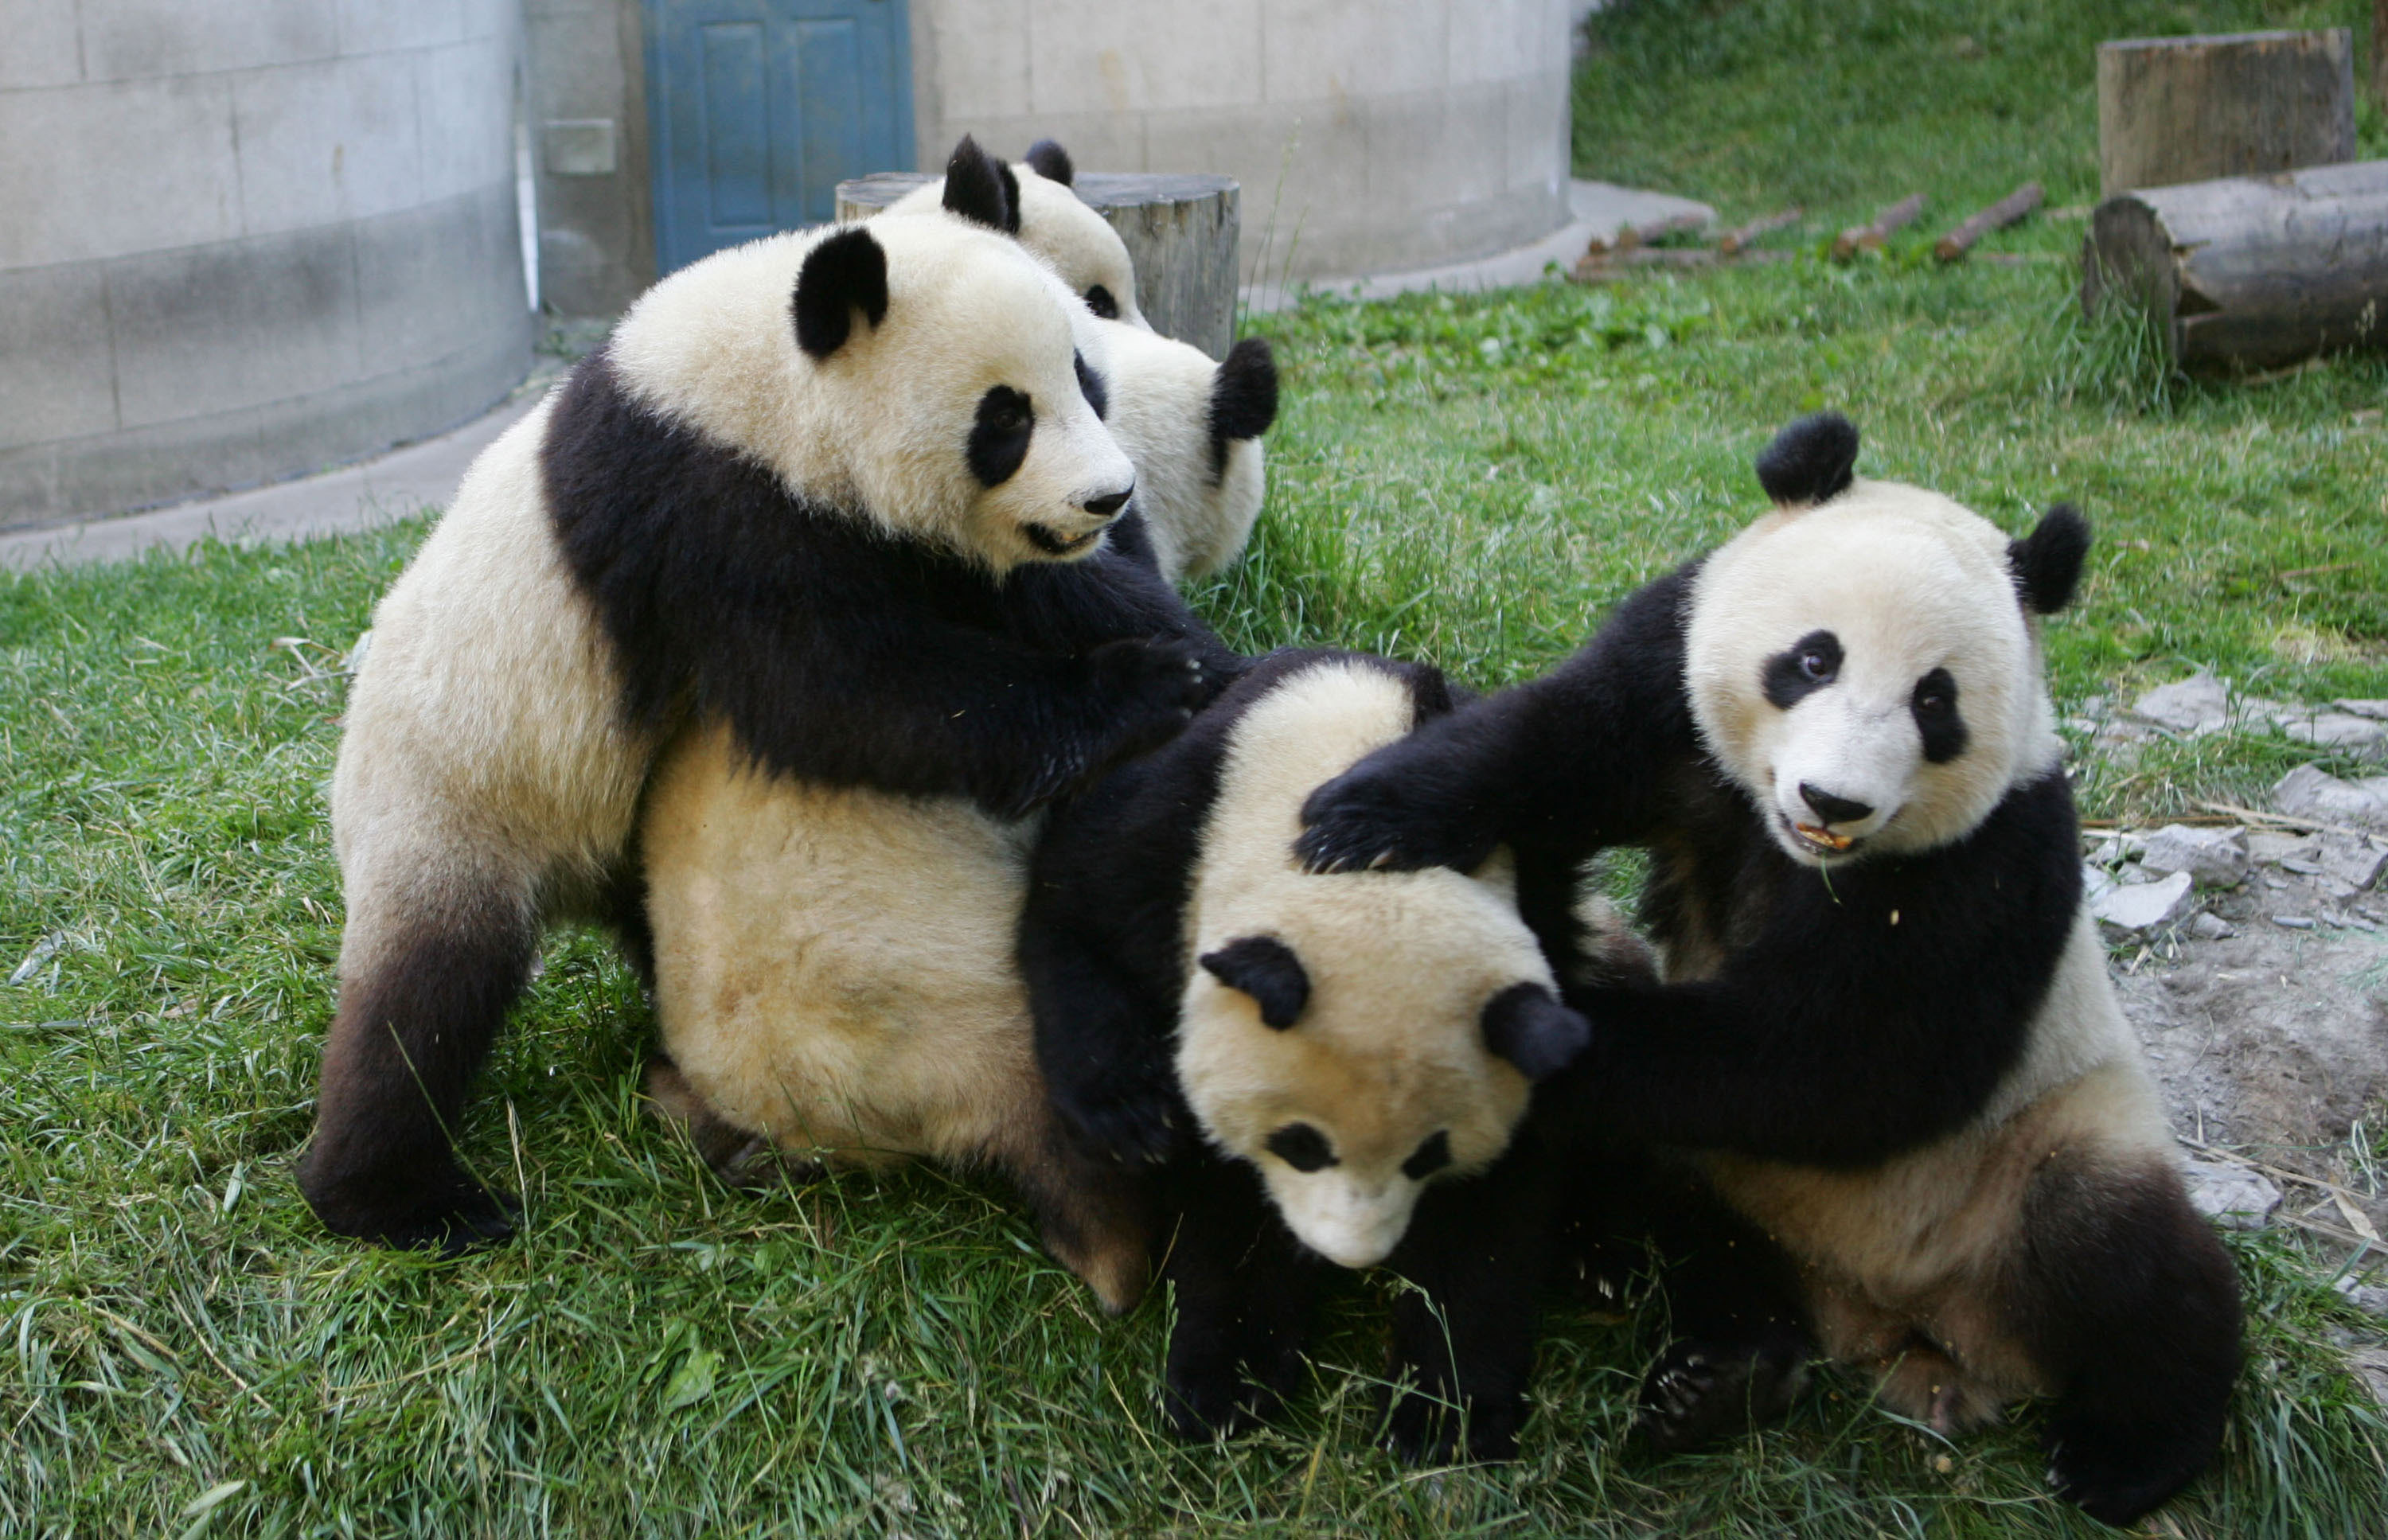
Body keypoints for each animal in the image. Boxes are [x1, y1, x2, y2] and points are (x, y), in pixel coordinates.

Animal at [1022, 645, 1595, 1452]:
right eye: (1299, 1144)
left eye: (1430, 1157)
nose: (1349, 1254)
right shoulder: (1172, 828)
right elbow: (1077, 919)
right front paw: (1227, 1377)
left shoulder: (1534, 910)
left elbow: (1497, 1202)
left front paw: (1443, 1413)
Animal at [1290, 411, 2235, 1528]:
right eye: (1812, 659)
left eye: (1936, 701)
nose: (1834, 801)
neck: (1802, 855)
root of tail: (1905, 1328)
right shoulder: (1673, 683)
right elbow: (1553, 743)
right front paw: (1361, 820)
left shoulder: (1995, 862)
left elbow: (1845, 1064)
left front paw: (1539, 1033)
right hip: (1730, 1188)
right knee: (1694, 1231)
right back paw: (1725, 1374)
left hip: (2039, 1144)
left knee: (2123, 1260)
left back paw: (2127, 1453)